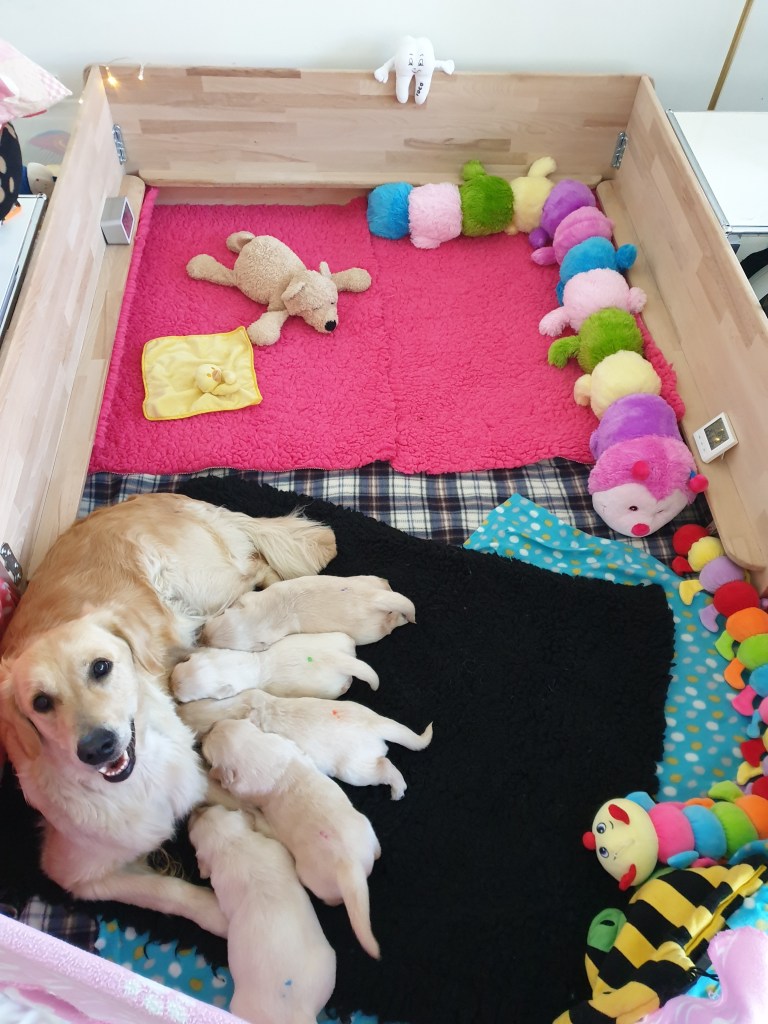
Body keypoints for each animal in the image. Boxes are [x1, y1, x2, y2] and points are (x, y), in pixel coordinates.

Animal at [0, 492, 336, 936]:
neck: (138, 781)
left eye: (101, 667)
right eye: (40, 702)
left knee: (255, 568)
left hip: (203, 585)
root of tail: (167, 497)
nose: (97, 747)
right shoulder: (74, 873)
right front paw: (224, 919)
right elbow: (169, 893)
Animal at [203, 718, 381, 959]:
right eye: (220, 724)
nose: (205, 732)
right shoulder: (282, 744)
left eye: (208, 750)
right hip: (365, 827)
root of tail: (349, 864)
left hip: (311, 877)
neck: (259, 752)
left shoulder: (244, 788)